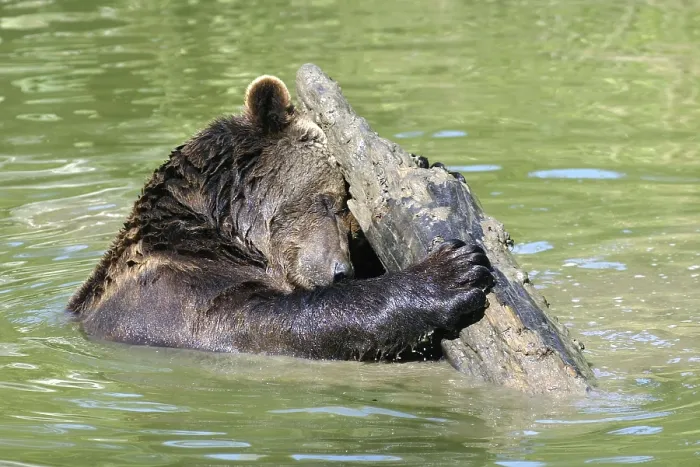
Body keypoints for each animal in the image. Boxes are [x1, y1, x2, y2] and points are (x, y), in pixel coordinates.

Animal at [67, 75, 494, 361]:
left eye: (351, 216)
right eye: (331, 201)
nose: (341, 271)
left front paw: (431, 163)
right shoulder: (180, 298)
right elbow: (279, 321)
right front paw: (454, 271)